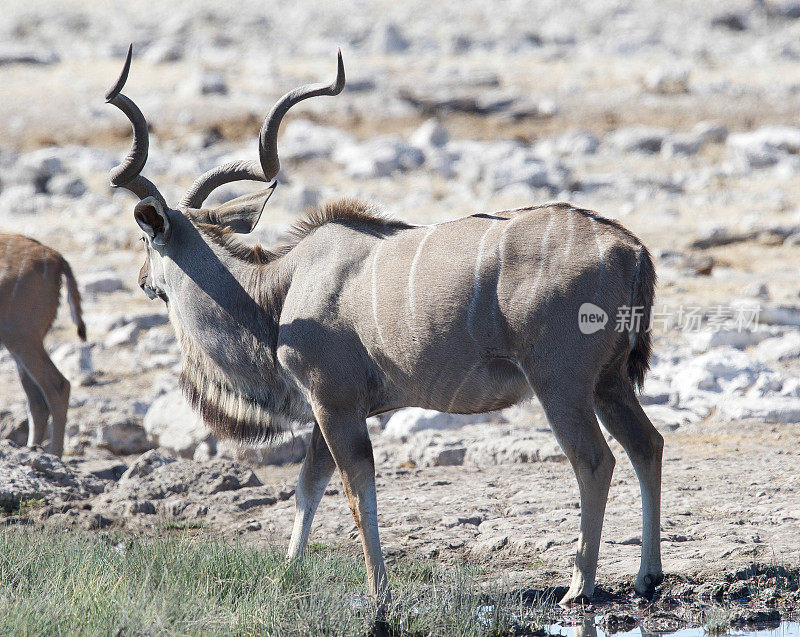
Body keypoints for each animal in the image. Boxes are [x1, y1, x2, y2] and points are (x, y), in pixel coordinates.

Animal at [0, 234, 85, 458]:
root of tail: (55, 257)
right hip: (19, 343)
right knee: (37, 400)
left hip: (21, 337)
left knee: (58, 385)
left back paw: (53, 455)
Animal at [106, 43, 664, 608]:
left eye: (146, 242)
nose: (142, 281)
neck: (278, 292)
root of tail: (631, 248)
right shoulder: (328, 411)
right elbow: (309, 485)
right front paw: (287, 573)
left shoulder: (335, 405)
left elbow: (357, 491)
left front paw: (379, 592)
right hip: (608, 383)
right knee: (647, 444)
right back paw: (648, 576)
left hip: (560, 384)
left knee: (594, 460)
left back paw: (580, 585)